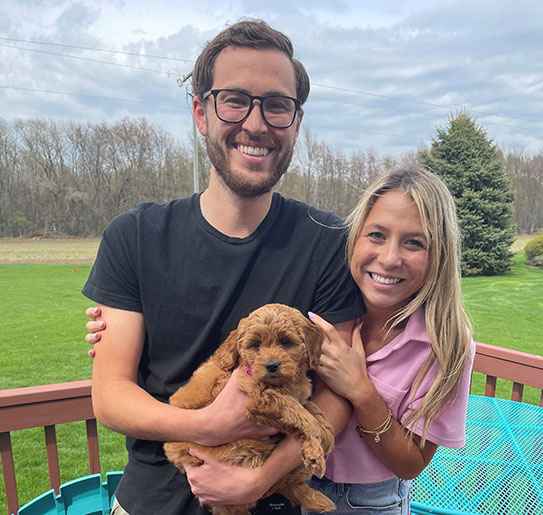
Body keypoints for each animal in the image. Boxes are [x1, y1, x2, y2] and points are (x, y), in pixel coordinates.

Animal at [164, 304, 338, 512]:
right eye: (256, 344)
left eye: (285, 341)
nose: (272, 366)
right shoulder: (260, 396)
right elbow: (302, 414)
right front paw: (316, 452)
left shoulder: (294, 398)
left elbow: (312, 410)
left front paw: (326, 437)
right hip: (244, 452)